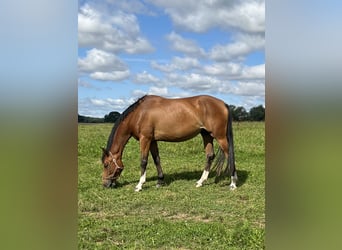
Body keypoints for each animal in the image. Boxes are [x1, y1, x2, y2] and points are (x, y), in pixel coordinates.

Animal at [100, 94, 236, 191]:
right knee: (210, 155)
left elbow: (143, 161)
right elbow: (156, 160)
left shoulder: (145, 139)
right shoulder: (152, 141)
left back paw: (233, 183)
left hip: (220, 136)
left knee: (229, 155)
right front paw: (160, 181)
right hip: (206, 134)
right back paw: (200, 182)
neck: (139, 114)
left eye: (106, 164)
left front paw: (139, 185)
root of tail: (223, 104)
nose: (105, 184)